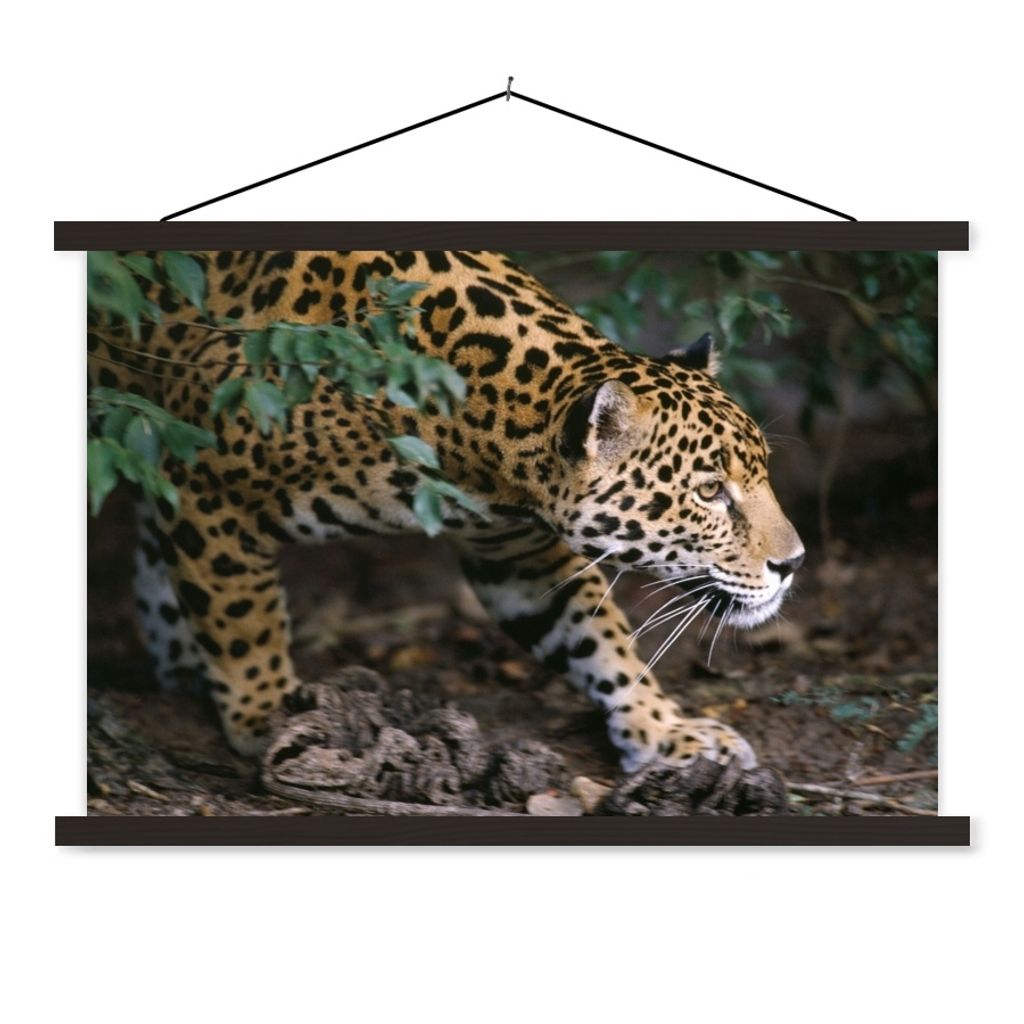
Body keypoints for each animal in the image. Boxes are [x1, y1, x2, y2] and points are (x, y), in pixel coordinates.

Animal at [88, 249, 804, 774]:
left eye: (762, 471)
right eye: (709, 491)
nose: (793, 563)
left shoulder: (515, 552)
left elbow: (597, 638)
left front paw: (664, 729)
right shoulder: (209, 485)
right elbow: (245, 622)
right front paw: (266, 718)